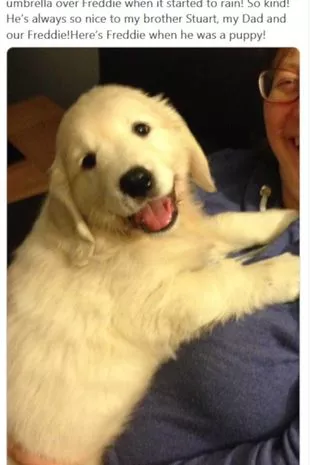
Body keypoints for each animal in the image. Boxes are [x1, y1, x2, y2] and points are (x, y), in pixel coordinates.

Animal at [6, 84, 298, 464]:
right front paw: (288, 269)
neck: (113, 237)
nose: (136, 181)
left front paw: (284, 216)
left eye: (141, 128)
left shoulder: (193, 237)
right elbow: (227, 278)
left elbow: (227, 224)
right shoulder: (159, 302)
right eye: (88, 161)